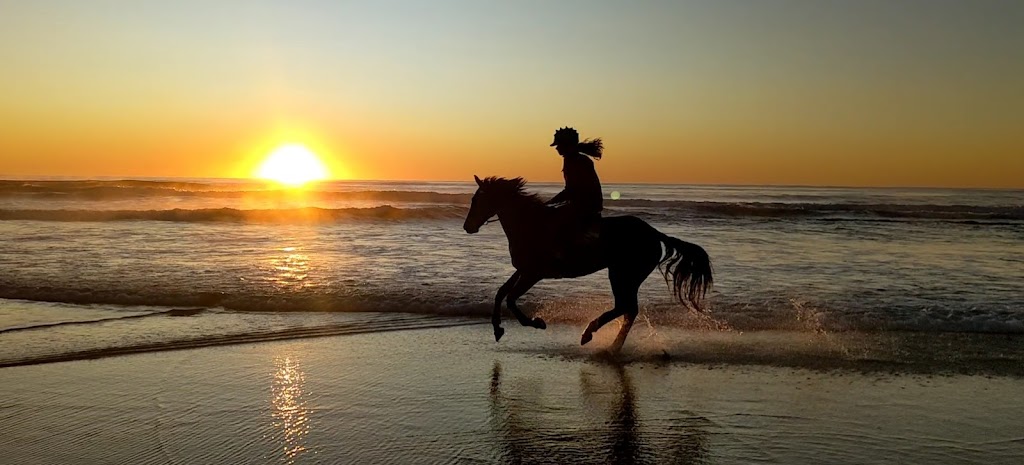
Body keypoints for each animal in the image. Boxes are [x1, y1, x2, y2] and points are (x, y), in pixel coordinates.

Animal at [464, 176, 712, 350]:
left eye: (477, 200)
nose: (468, 227)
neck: (531, 224)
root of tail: (654, 234)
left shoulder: (534, 273)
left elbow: (512, 299)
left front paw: (537, 322)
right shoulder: (523, 270)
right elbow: (501, 293)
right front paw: (497, 328)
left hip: (622, 274)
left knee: (626, 307)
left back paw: (594, 337)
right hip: (626, 276)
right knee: (628, 310)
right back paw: (608, 344)